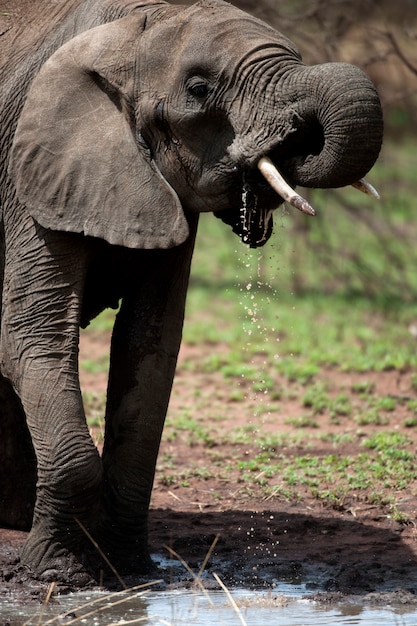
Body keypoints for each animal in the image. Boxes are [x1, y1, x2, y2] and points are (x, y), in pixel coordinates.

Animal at [0, 0, 384, 584]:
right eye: (200, 89)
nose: (299, 139)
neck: (127, 27)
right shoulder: (31, 175)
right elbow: (34, 339)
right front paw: (60, 575)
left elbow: (149, 352)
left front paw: (131, 571)